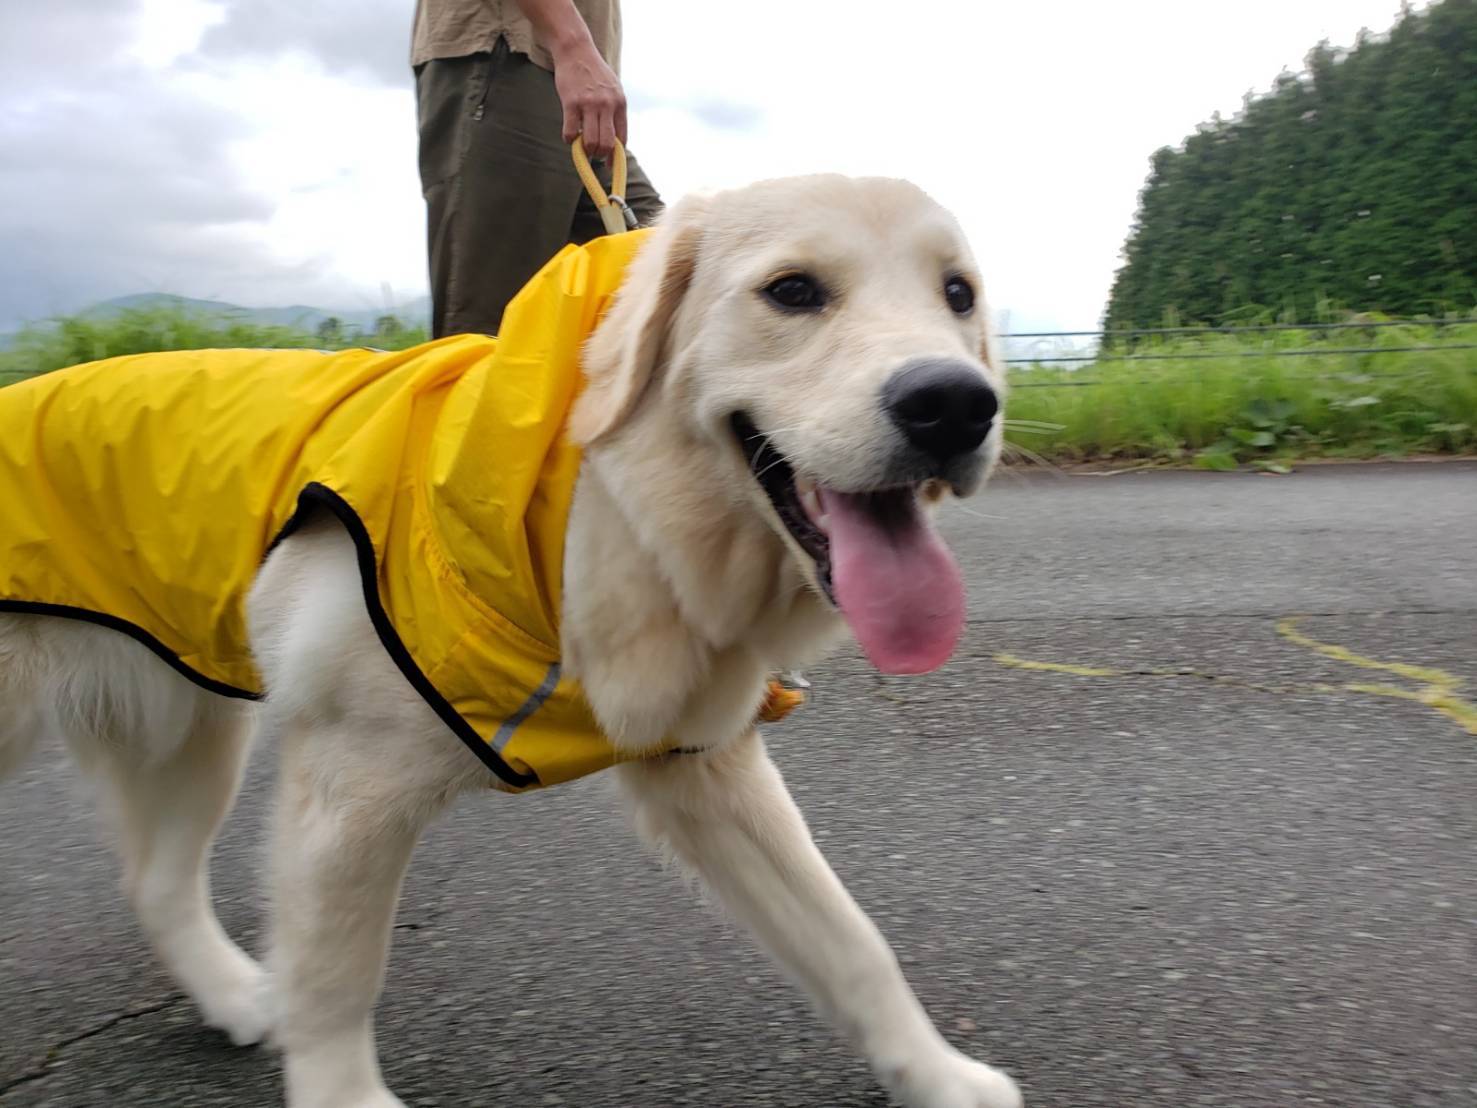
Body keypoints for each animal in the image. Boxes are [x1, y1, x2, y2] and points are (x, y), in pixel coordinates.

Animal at [0, 178, 1022, 1105]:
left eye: (957, 293)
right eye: (794, 291)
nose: (954, 404)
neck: (592, 512)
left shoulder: (706, 769)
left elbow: (852, 942)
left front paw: (940, 1078)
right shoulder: (348, 791)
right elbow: (336, 982)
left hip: (194, 722)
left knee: (154, 879)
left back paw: (233, 997)